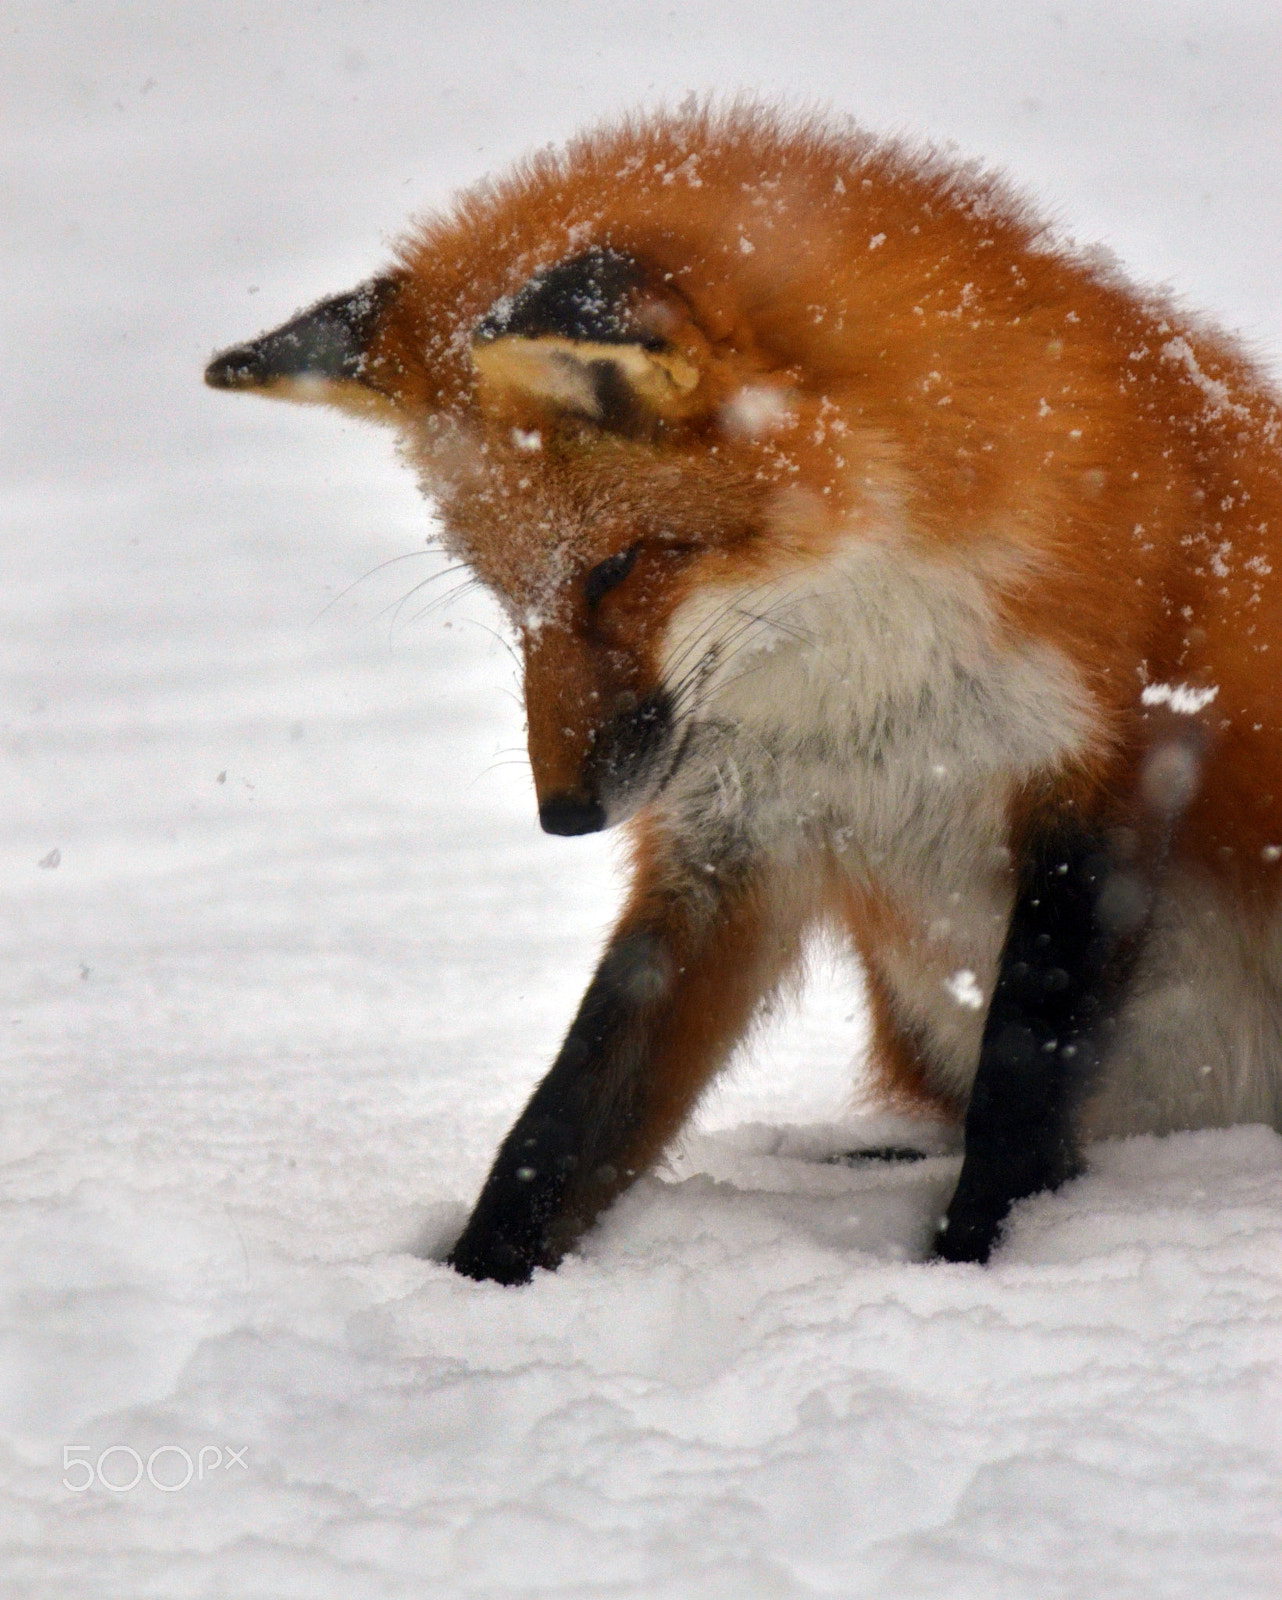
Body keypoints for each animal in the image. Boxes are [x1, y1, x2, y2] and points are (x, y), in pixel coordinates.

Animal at [204, 103, 1280, 1273]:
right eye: (505, 591)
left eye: (614, 568)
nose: (564, 815)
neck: (854, 677)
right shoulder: (734, 837)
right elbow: (567, 1115)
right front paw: (479, 1282)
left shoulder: (1105, 770)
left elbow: (1023, 1086)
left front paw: (972, 1266)